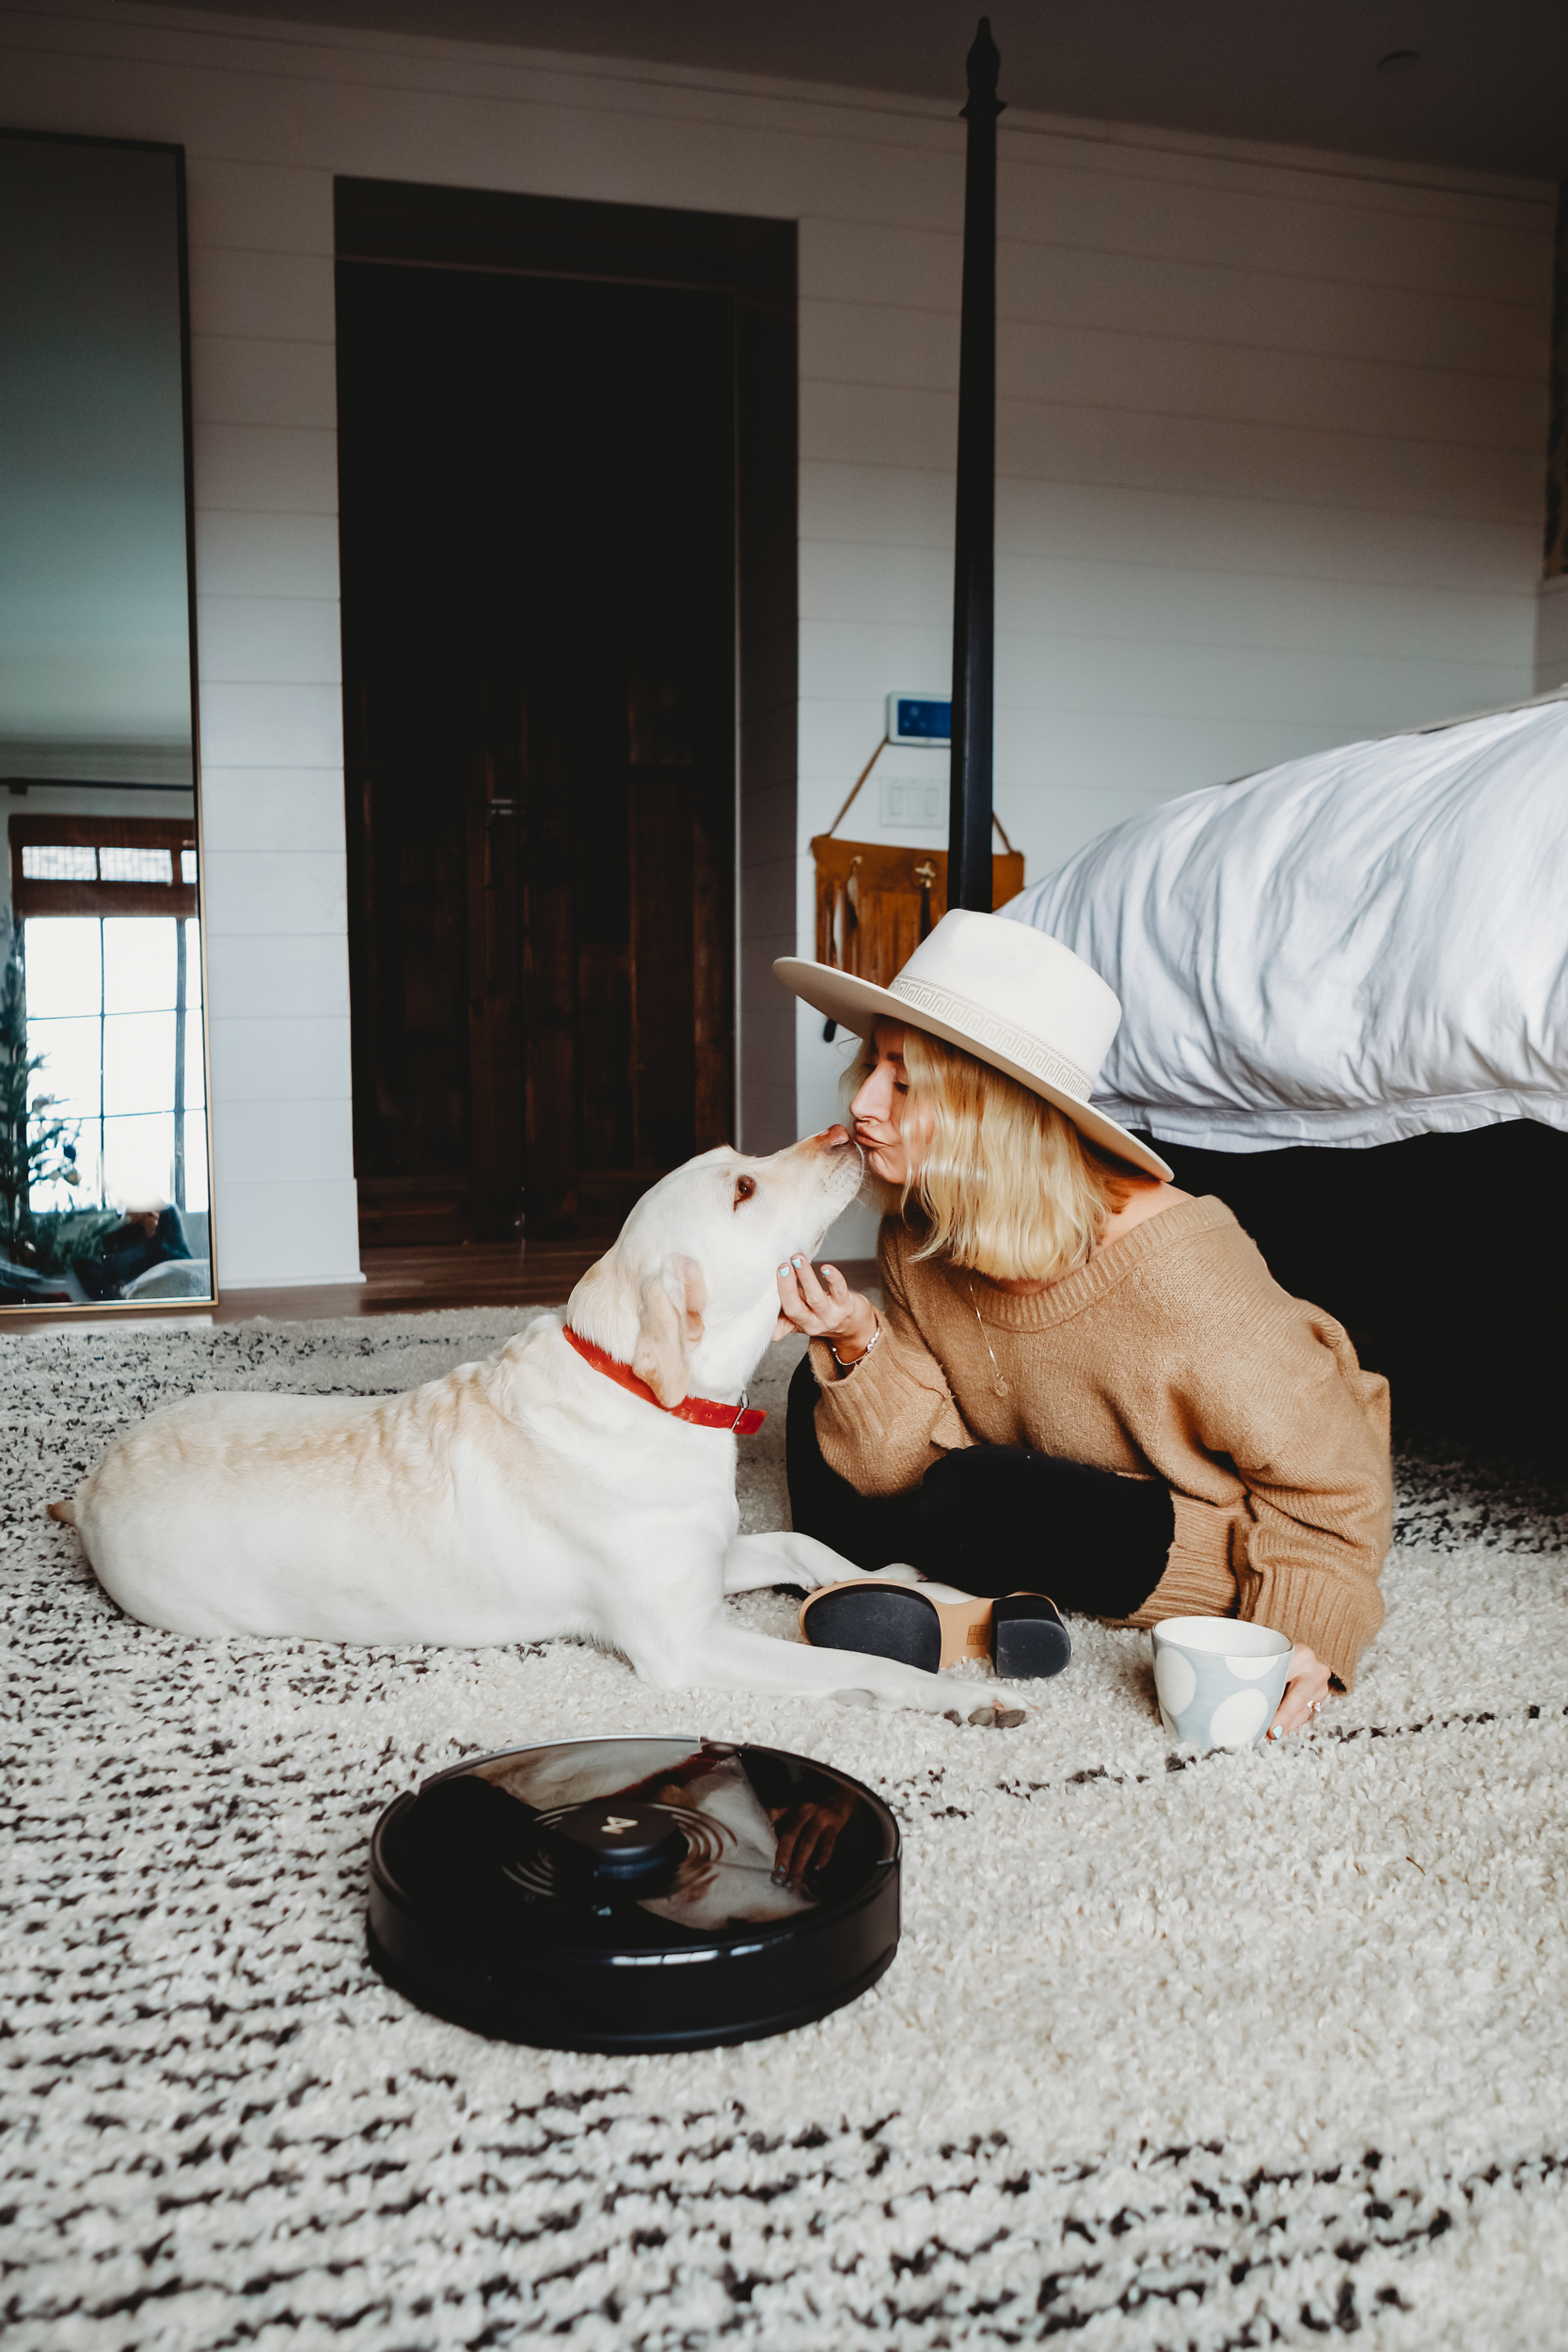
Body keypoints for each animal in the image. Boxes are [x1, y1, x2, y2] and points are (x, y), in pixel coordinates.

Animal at [57, 1129, 958, 1722]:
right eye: (742, 1190)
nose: (846, 1128)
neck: (643, 1394)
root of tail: (92, 1483)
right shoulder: (683, 1641)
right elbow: (846, 1658)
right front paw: (951, 1693)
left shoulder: (713, 1557)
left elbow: (808, 1548)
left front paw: (926, 1584)